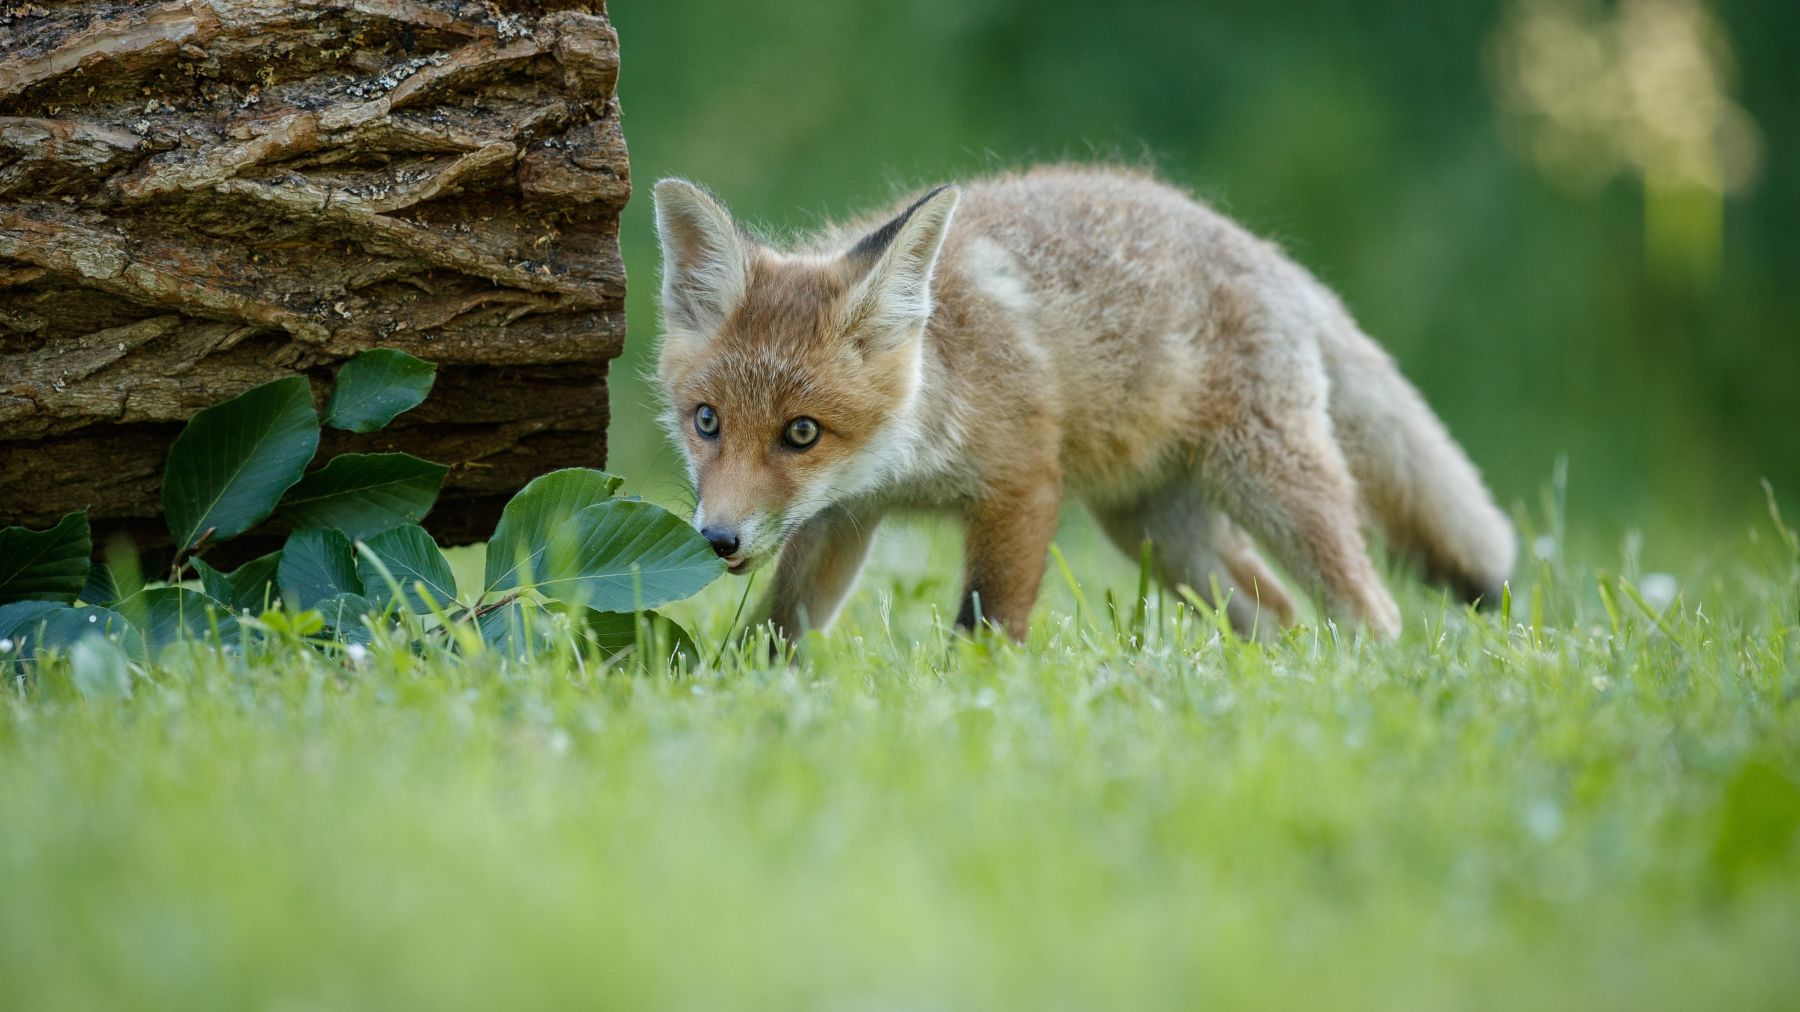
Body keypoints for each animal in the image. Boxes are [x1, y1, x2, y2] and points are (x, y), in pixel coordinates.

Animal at [652, 164, 1515, 642]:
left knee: (1372, 611)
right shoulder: (842, 519)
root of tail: (1273, 256)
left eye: (801, 433)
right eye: (707, 423)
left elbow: (985, 628)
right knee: (1277, 614)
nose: (718, 539)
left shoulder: (1024, 485)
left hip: (1273, 488)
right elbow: (779, 629)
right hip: (1159, 532)